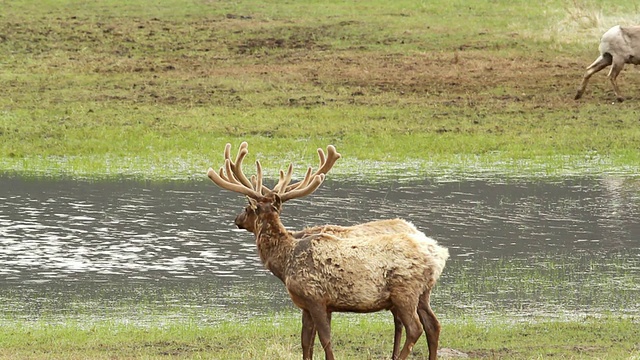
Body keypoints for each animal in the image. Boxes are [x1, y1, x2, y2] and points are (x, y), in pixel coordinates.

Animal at [208, 142, 448, 358]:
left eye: (248, 208)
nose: (236, 219)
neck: (286, 262)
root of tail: (439, 255)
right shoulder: (307, 305)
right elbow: (306, 342)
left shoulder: (316, 298)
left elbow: (326, 340)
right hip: (423, 293)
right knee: (433, 325)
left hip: (405, 291)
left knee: (414, 328)